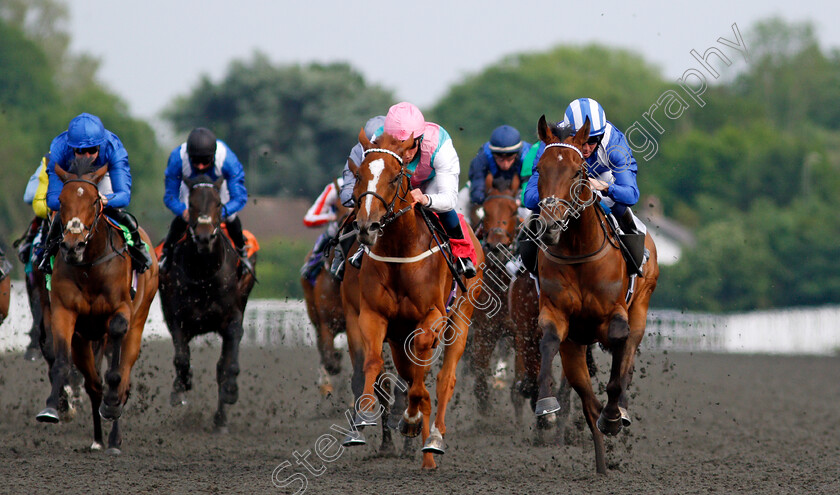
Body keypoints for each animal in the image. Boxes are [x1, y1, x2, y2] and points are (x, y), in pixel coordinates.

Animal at [35, 157, 159, 456]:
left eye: (94, 201)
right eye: (61, 200)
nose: (73, 244)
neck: (90, 266)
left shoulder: (122, 310)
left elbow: (116, 368)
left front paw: (112, 405)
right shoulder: (64, 312)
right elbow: (61, 362)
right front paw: (52, 407)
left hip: (138, 322)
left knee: (123, 376)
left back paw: (114, 436)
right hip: (83, 341)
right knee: (93, 384)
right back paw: (99, 439)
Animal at [158, 176, 256, 432]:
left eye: (218, 203)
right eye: (191, 205)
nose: (204, 237)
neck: (204, 273)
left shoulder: (232, 320)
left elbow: (228, 367)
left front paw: (231, 391)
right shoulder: (177, 320)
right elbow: (182, 360)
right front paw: (180, 388)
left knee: (222, 367)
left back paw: (220, 419)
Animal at [342, 130, 486, 470]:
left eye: (396, 177)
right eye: (359, 174)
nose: (366, 226)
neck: (400, 249)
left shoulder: (432, 315)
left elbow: (422, 366)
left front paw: (411, 419)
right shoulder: (374, 315)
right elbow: (373, 362)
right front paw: (363, 417)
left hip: (461, 316)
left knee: (446, 377)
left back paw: (433, 439)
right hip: (398, 335)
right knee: (408, 373)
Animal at [528, 114, 660, 474]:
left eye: (577, 171)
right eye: (539, 169)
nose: (550, 225)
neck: (578, 250)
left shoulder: (614, 313)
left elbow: (618, 346)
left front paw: (615, 413)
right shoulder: (556, 314)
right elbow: (548, 340)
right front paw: (545, 402)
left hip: (641, 305)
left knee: (628, 351)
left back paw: (618, 411)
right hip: (574, 348)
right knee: (588, 402)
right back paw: (601, 462)